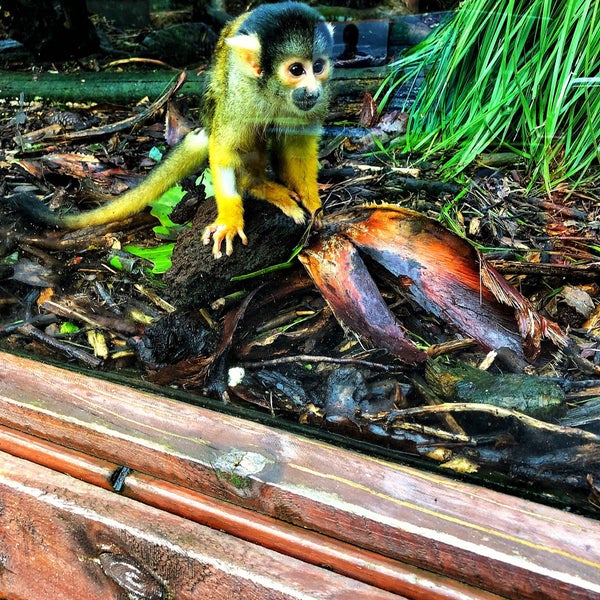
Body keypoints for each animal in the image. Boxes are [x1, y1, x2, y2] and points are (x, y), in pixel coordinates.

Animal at [9, 3, 336, 258]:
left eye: (318, 67)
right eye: (296, 70)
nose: (313, 90)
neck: (274, 93)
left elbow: (299, 147)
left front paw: (312, 203)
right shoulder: (241, 95)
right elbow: (225, 150)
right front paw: (231, 218)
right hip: (214, 108)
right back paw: (257, 185)